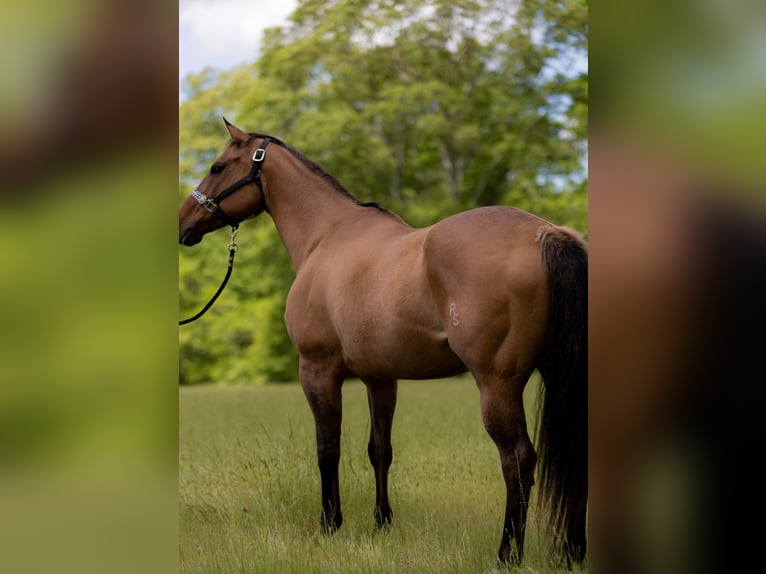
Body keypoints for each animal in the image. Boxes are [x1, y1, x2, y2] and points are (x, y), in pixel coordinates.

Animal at [180, 118, 588, 568]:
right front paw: (381, 524)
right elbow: (380, 449)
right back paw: (573, 551)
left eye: (217, 167)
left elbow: (328, 449)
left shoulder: (317, 369)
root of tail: (546, 233)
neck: (327, 237)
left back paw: (506, 555)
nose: (184, 223)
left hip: (497, 384)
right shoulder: (380, 378)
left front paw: (329, 526)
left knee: (518, 459)